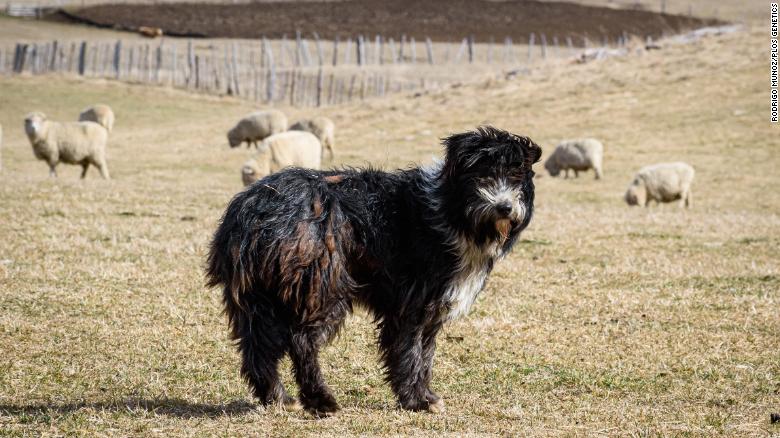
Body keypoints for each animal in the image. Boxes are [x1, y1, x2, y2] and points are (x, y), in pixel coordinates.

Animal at [204, 125, 540, 416]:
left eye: (515, 176)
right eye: (484, 175)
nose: (504, 207)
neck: (451, 213)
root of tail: (252, 208)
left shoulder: (432, 306)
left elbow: (426, 354)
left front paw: (425, 396)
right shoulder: (411, 302)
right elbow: (410, 352)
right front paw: (416, 400)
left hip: (257, 294)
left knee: (256, 347)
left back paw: (277, 398)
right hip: (322, 285)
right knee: (301, 342)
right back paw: (320, 400)